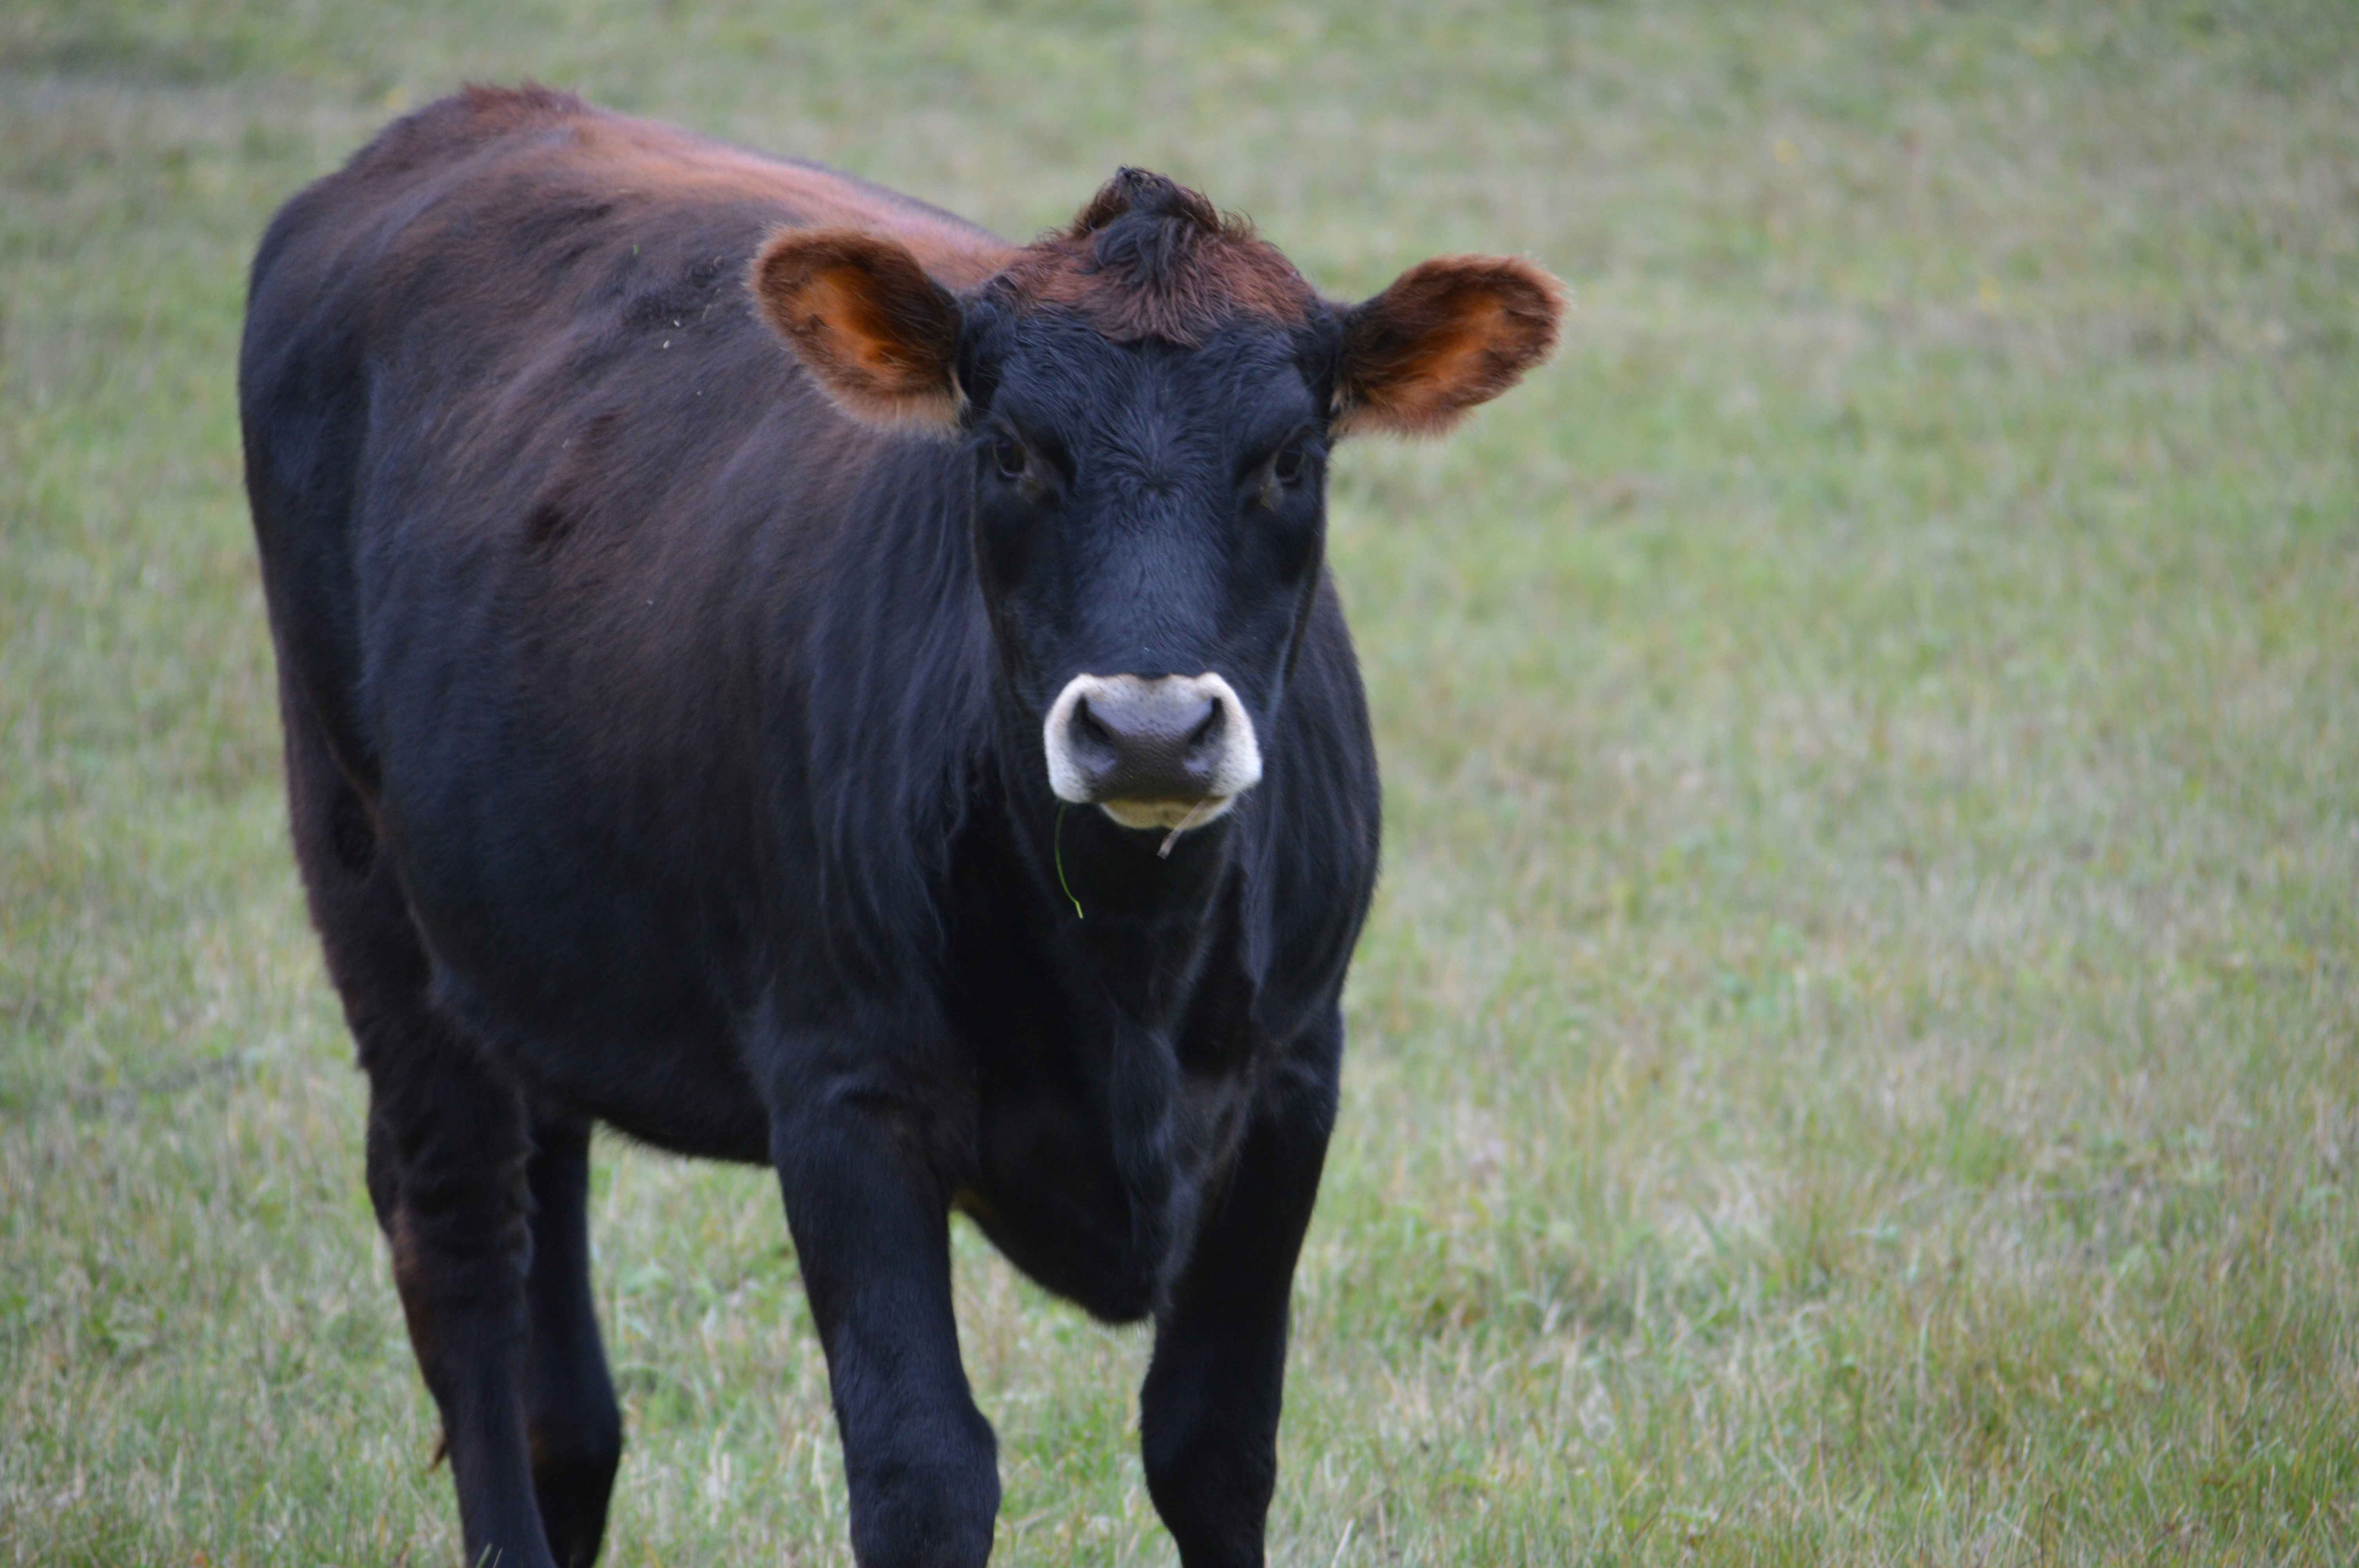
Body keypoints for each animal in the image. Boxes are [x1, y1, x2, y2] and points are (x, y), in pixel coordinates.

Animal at [238, 84, 1561, 1568]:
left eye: (1289, 457)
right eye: (1010, 452)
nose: (1148, 728)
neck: (1128, 966)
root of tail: (468, 118)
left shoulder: (1292, 1075)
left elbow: (1214, 1446)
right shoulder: (843, 1089)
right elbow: (924, 1471)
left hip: (521, 925)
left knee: (552, 1330)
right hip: (365, 883)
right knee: (462, 1255)